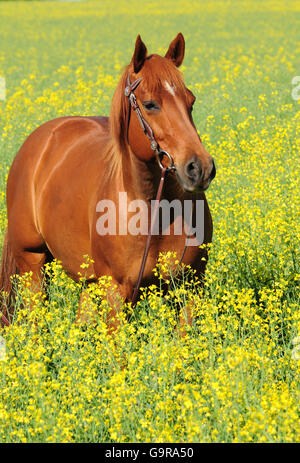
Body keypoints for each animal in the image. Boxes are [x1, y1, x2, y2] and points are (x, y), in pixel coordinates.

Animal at [0, 32, 216, 328]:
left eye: (190, 101)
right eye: (150, 104)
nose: (200, 168)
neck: (154, 209)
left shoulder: (190, 288)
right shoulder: (117, 291)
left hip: (89, 282)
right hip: (31, 262)